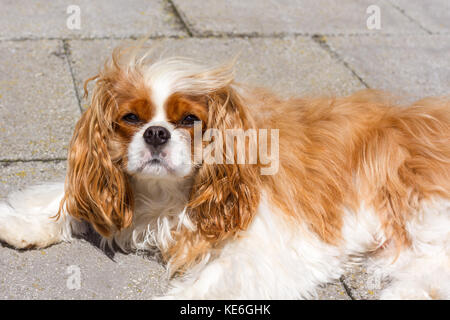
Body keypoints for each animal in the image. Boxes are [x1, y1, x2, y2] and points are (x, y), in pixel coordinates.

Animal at [0, 48, 448, 300]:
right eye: (131, 118)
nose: (157, 133)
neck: (166, 194)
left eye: (189, 120)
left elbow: (206, 283)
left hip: (422, 209)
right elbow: (66, 199)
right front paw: (21, 223)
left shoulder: (268, 248)